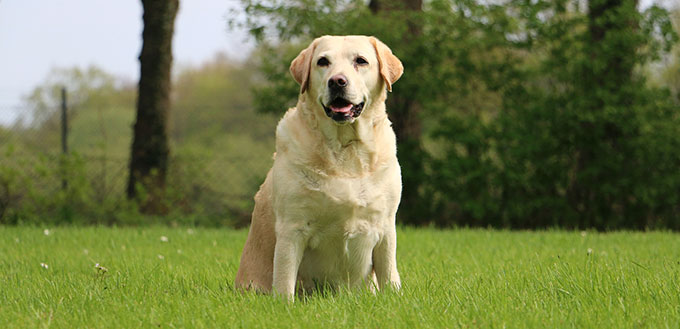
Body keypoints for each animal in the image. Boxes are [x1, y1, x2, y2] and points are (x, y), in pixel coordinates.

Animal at [235, 34, 404, 298]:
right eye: (323, 62)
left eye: (361, 61)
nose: (337, 81)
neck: (345, 147)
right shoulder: (292, 228)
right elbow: (284, 281)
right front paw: (284, 303)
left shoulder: (385, 226)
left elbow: (389, 274)